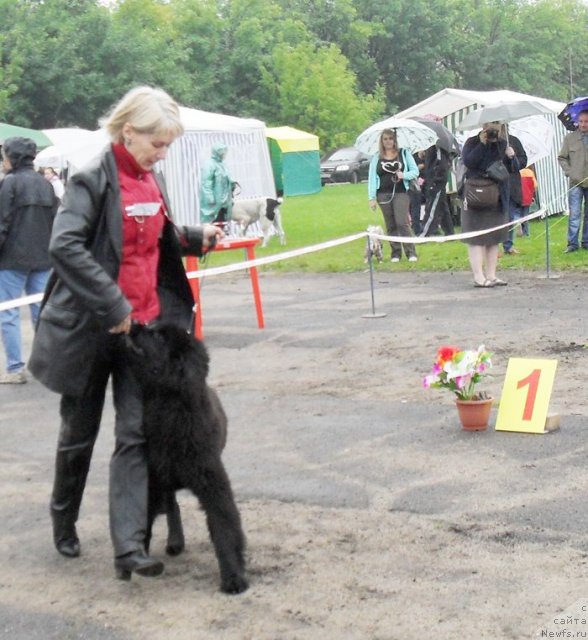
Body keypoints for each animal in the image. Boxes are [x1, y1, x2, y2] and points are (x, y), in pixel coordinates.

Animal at [124, 324, 248, 596]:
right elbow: (144, 521)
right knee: (173, 506)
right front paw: (141, 560)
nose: (134, 325)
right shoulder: (152, 479)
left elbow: (224, 527)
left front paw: (233, 577)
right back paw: (175, 542)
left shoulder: (212, 484)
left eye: (159, 336)